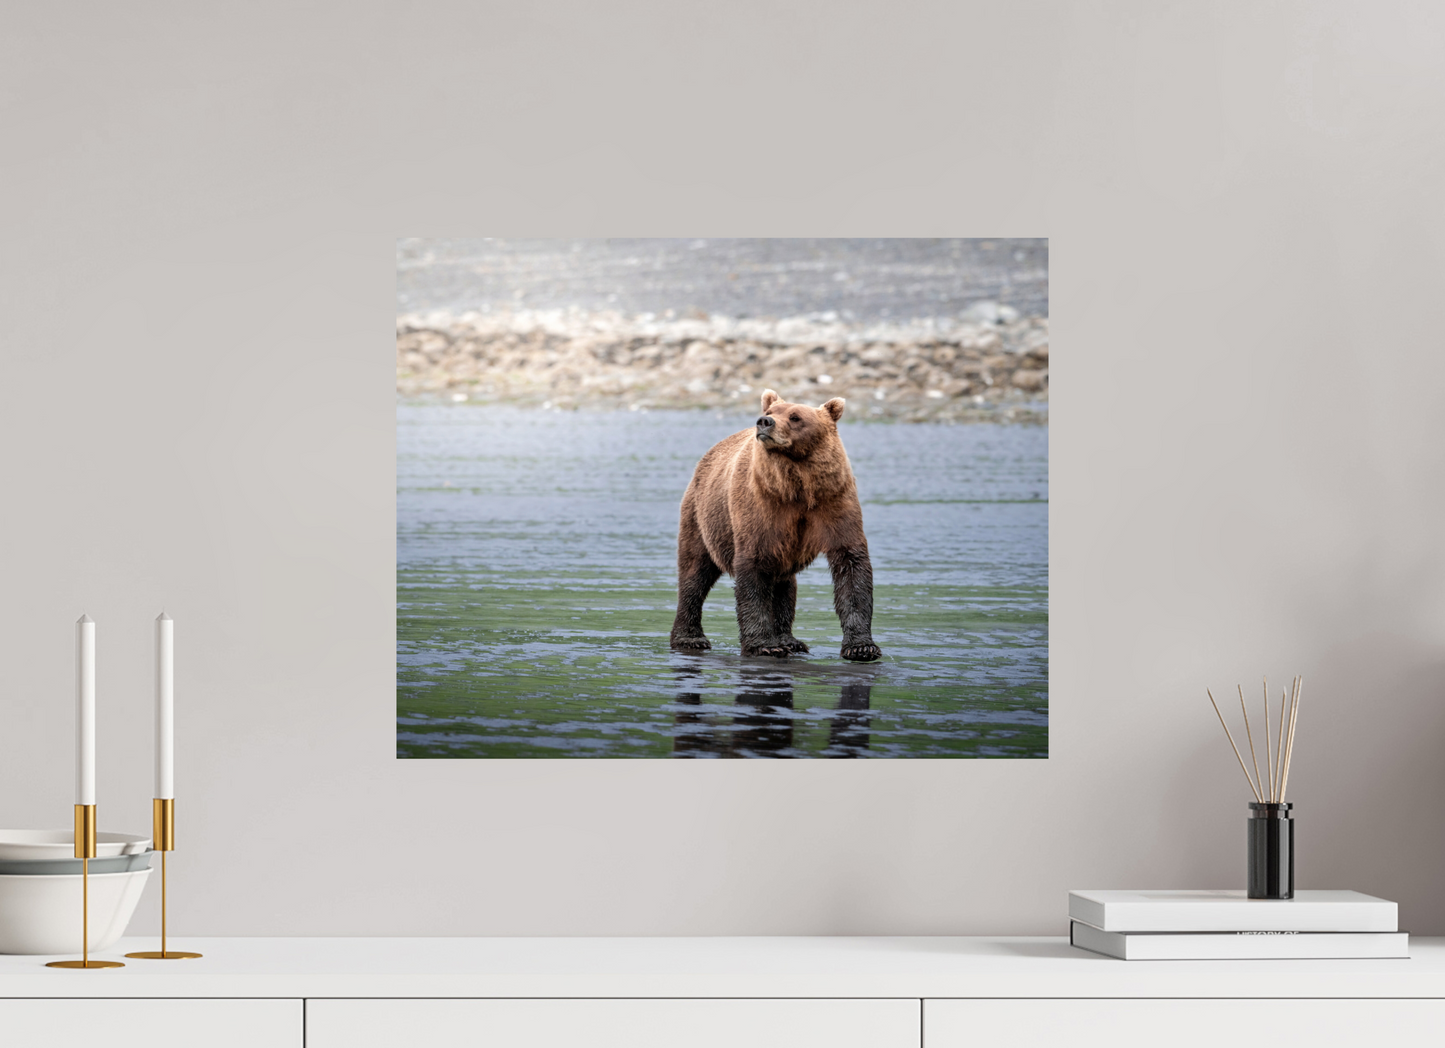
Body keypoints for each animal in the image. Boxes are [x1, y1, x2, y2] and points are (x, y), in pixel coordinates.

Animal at [669, 389, 882, 661]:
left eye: (795, 416)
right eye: (771, 412)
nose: (764, 422)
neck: (797, 485)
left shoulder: (833, 500)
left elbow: (851, 563)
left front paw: (862, 647)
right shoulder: (762, 506)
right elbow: (754, 567)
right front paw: (763, 645)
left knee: (784, 583)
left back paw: (789, 640)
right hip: (703, 517)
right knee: (695, 572)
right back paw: (690, 638)